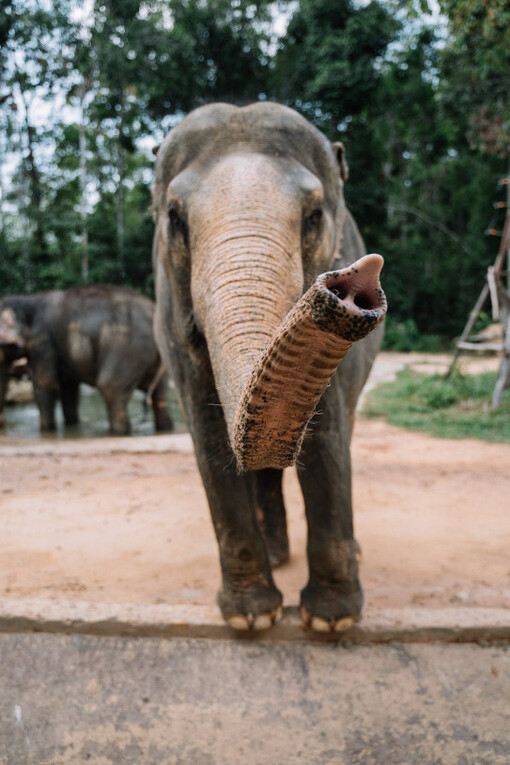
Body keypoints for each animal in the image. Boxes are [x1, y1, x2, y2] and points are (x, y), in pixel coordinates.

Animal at [0, 285, 174, 435]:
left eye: (4, 345)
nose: (3, 422)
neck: (27, 299)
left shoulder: (43, 343)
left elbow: (46, 384)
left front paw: (47, 431)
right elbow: (69, 389)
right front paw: (71, 425)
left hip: (127, 348)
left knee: (110, 387)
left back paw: (117, 433)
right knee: (160, 396)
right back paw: (165, 428)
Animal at [152, 102, 387, 632]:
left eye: (314, 217)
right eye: (174, 218)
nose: (355, 278)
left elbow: (326, 438)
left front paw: (329, 622)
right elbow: (209, 438)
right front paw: (251, 619)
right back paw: (277, 557)